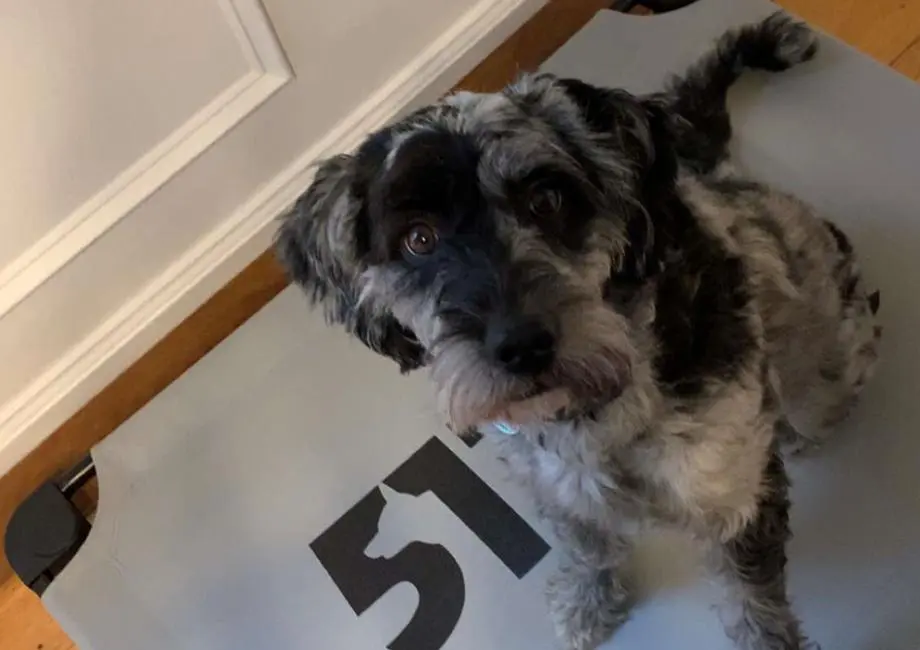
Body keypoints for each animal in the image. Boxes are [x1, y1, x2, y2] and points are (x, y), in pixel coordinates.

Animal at [276, 11, 880, 648]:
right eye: (419, 238)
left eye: (546, 199)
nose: (521, 347)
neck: (600, 409)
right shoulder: (555, 487)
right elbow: (588, 548)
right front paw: (589, 603)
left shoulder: (731, 491)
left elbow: (753, 603)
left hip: (822, 373)